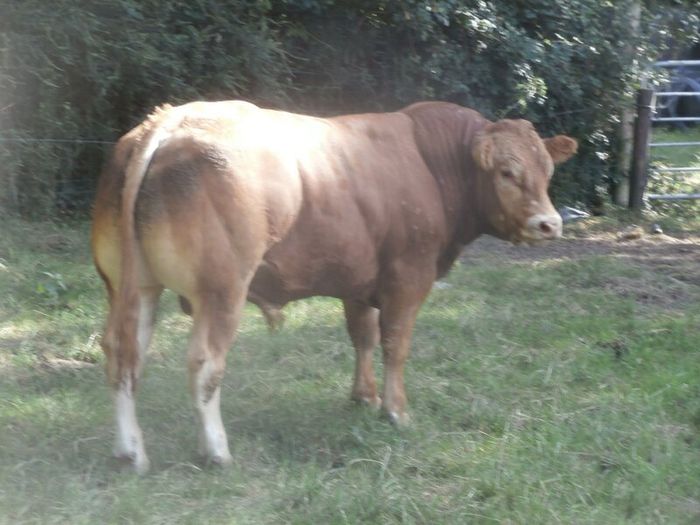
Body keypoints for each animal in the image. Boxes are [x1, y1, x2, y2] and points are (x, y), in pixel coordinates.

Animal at [91, 100, 577, 473]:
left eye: (547, 170)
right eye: (507, 172)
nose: (549, 224)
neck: (431, 163)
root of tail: (169, 121)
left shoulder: (359, 280)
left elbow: (362, 336)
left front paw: (364, 397)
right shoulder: (408, 277)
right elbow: (395, 344)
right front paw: (396, 411)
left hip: (133, 288)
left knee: (122, 356)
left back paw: (129, 451)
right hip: (222, 291)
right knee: (205, 364)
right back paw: (217, 451)